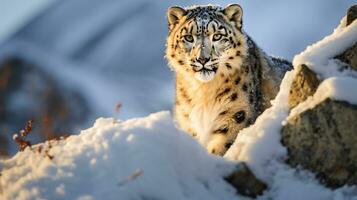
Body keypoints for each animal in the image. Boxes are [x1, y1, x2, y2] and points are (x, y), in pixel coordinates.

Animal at [165, 3, 290, 155]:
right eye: (188, 37)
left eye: (217, 36)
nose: (202, 59)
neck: (203, 93)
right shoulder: (188, 123)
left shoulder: (237, 115)